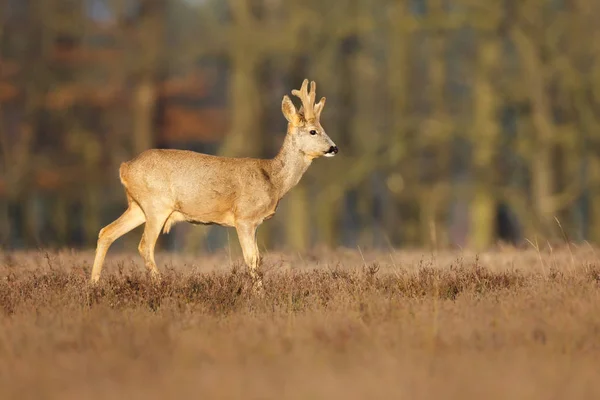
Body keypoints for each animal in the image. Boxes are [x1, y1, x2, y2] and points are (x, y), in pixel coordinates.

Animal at [89, 79, 338, 284]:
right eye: (313, 131)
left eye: (323, 129)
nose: (334, 148)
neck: (273, 180)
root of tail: (125, 168)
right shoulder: (244, 217)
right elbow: (252, 260)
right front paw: (259, 295)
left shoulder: (255, 222)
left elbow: (258, 259)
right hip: (156, 204)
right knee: (144, 246)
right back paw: (160, 284)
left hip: (138, 206)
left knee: (106, 232)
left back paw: (94, 285)